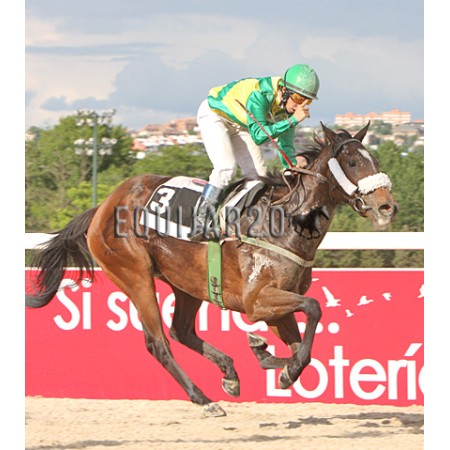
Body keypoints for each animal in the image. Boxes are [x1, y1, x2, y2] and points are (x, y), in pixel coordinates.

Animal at [26, 122, 398, 417]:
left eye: (377, 161)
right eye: (352, 162)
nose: (387, 206)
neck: (286, 219)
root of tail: (103, 207)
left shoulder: (277, 302)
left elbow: (301, 352)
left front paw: (268, 357)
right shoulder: (256, 300)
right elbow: (314, 308)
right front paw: (279, 366)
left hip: (187, 282)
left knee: (181, 331)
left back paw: (229, 373)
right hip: (135, 276)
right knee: (159, 342)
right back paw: (203, 399)